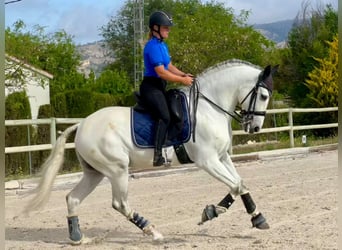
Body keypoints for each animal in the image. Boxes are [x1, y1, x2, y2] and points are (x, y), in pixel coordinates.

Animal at [26, 59, 278, 243]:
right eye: (264, 96)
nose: (255, 128)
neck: (209, 108)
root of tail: (82, 125)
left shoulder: (222, 157)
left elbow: (240, 183)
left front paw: (255, 218)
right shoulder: (208, 161)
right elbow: (235, 185)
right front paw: (214, 213)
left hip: (94, 173)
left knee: (73, 198)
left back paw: (77, 237)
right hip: (117, 170)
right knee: (119, 204)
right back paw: (152, 231)